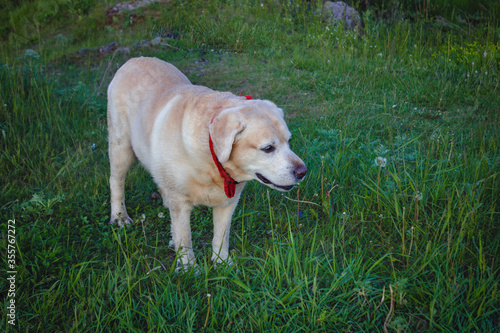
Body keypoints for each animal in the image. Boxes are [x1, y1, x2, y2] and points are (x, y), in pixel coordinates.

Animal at [107, 57, 306, 268]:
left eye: (289, 141)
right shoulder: (181, 204)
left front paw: (222, 262)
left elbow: (221, 235)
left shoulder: (228, 203)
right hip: (121, 146)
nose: (303, 171)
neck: (211, 160)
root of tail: (134, 59)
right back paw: (119, 217)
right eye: (268, 148)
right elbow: (185, 238)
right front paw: (189, 268)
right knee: (116, 181)